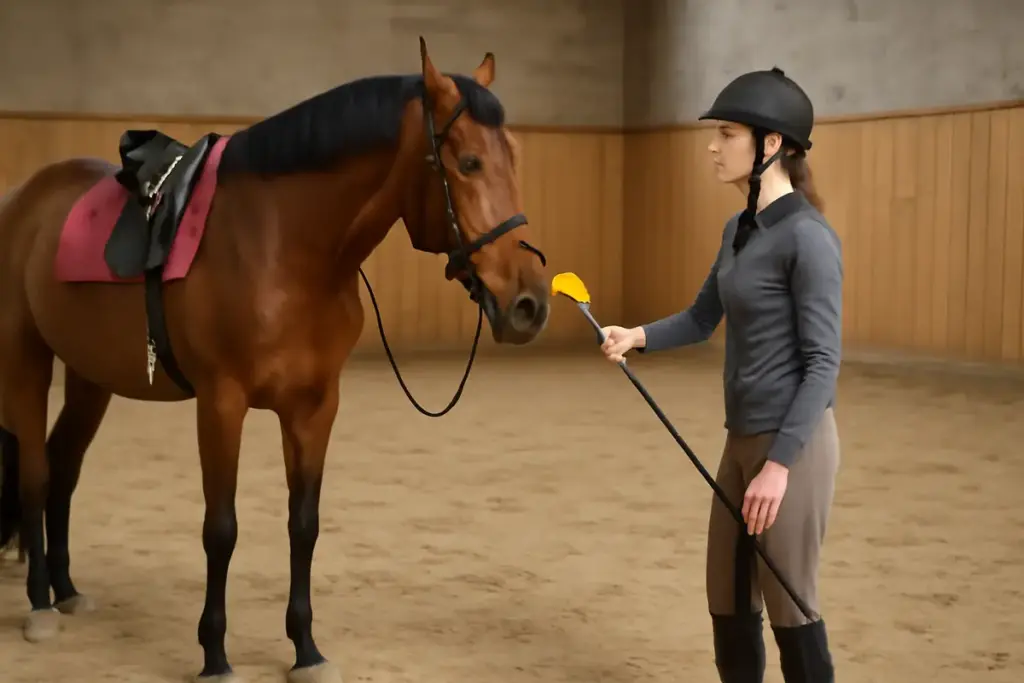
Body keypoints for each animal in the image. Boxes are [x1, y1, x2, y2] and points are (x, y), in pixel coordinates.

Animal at [0, 37, 550, 683]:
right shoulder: (221, 403)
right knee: (37, 474)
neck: (283, 246)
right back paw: (40, 604)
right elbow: (221, 529)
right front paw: (215, 655)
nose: (529, 304)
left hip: (91, 375)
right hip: (26, 359)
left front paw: (306, 649)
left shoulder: (315, 407)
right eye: (467, 162)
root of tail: (22, 199)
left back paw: (66, 589)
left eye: (513, 156)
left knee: (64, 467)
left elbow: (303, 525)